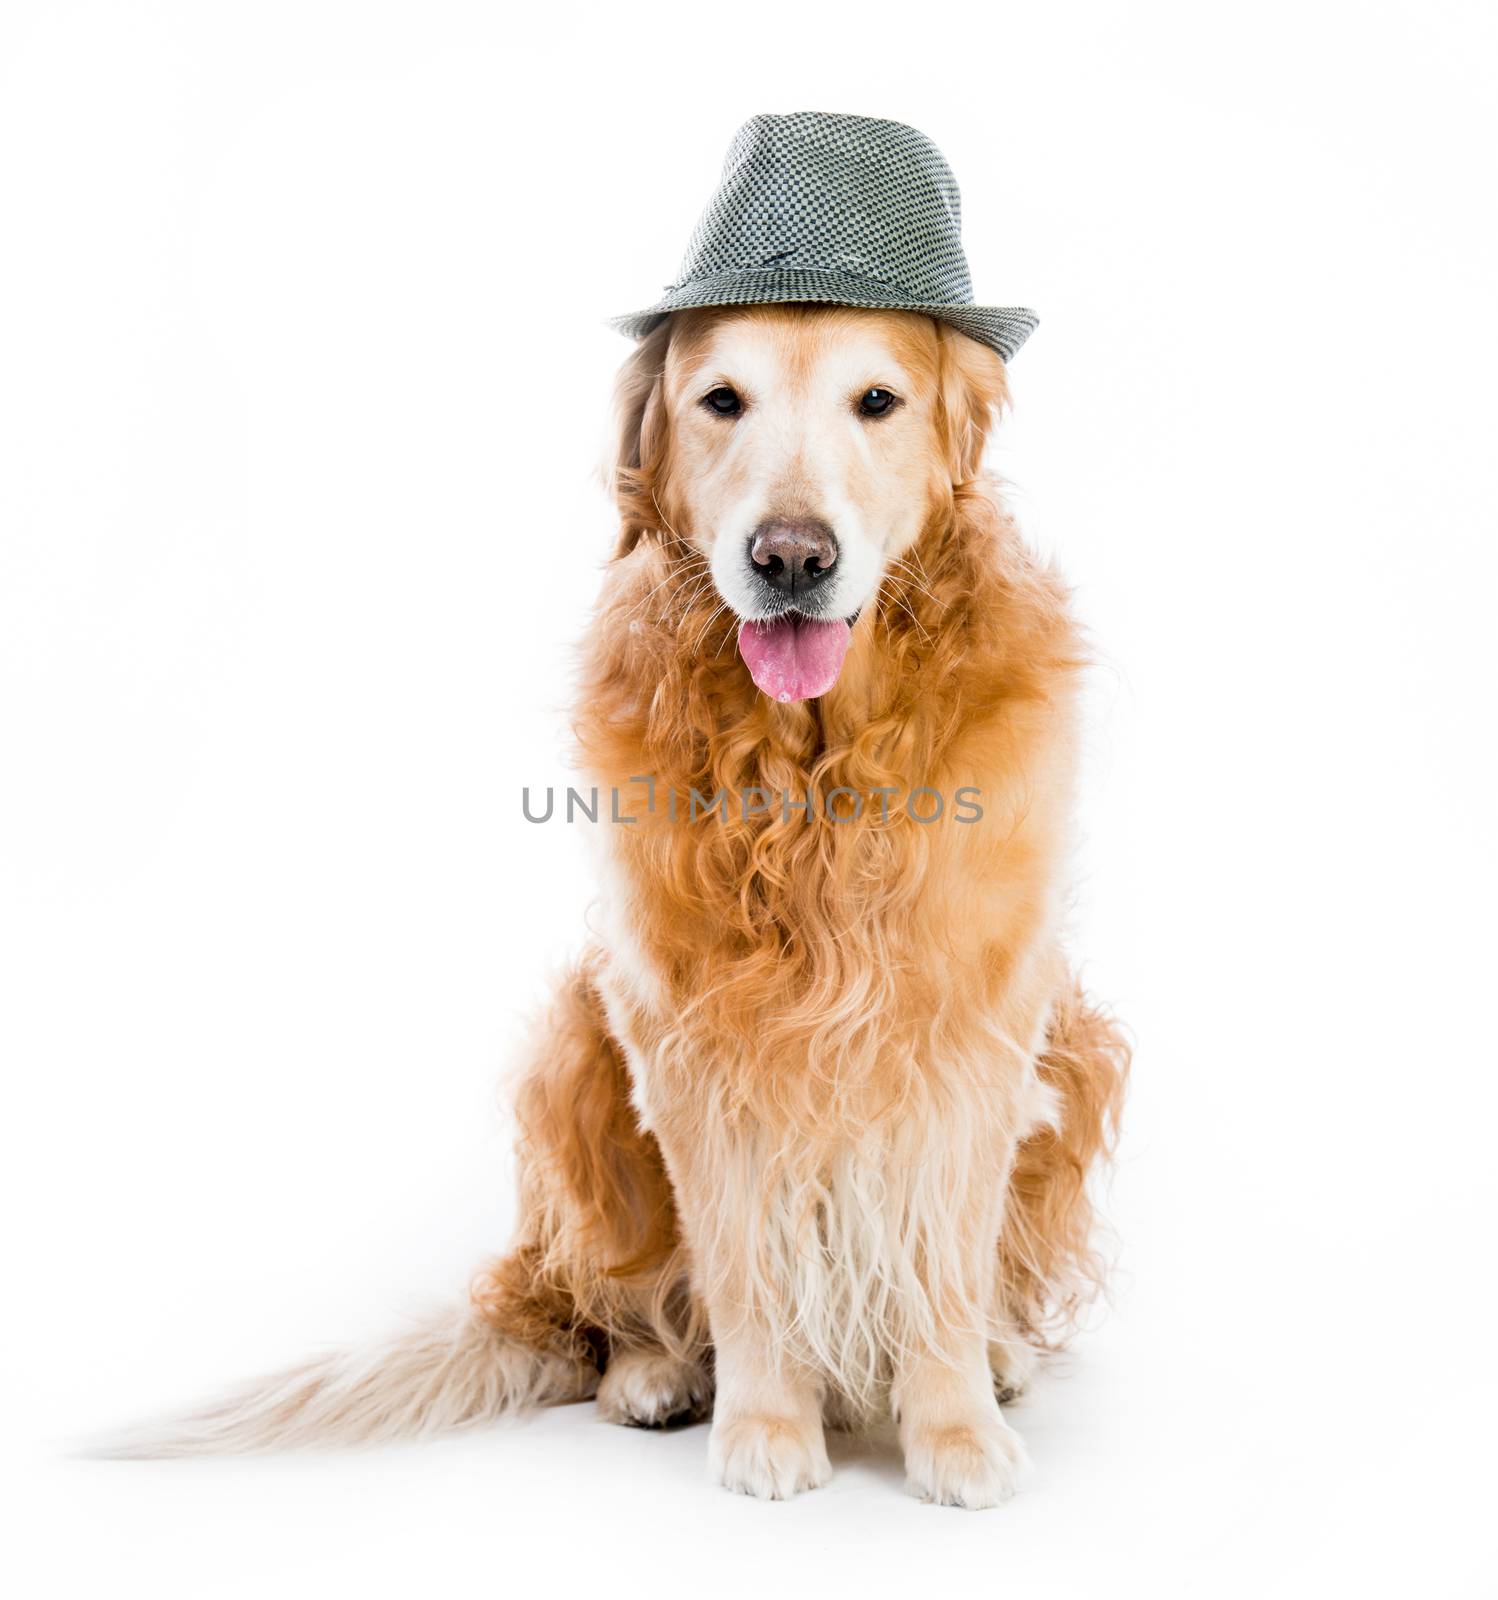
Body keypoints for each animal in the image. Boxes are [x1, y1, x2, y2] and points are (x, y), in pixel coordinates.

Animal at [116, 302, 1126, 1510]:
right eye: (720, 400)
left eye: (877, 402)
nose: (791, 557)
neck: (811, 773)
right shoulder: (687, 1037)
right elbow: (739, 1260)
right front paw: (767, 1427)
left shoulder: (976, 1026)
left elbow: (944, 1259)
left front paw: (957, 1432)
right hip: (572, 1040)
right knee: (620, 1307)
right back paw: (653, 1373)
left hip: (1078, 1040)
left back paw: (1001, 1357)